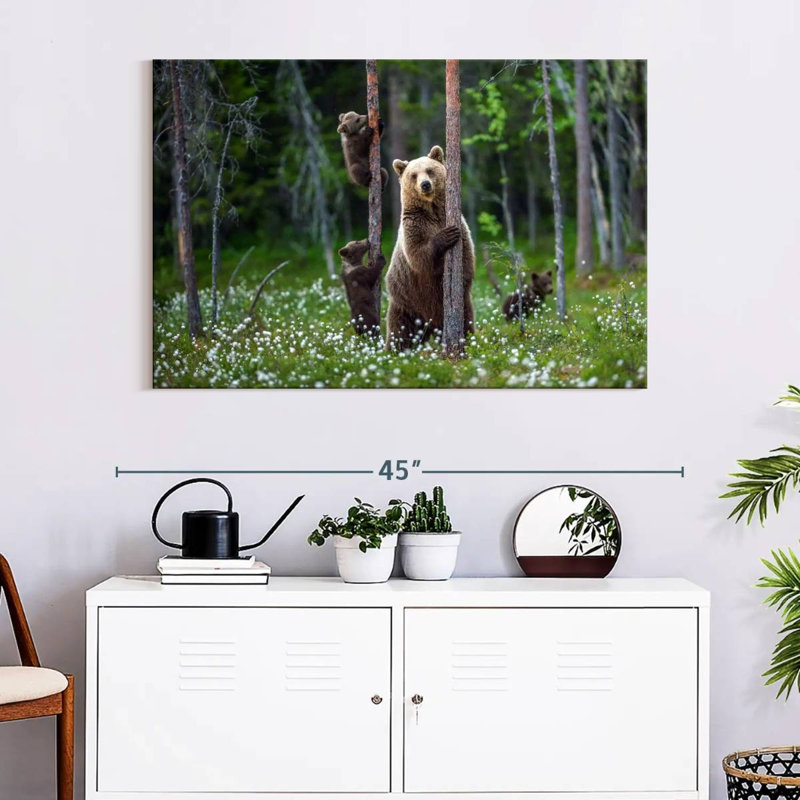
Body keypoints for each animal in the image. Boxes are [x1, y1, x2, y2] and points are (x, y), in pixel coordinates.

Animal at [384, 145, 475, 351]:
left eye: (430, 170)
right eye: (413, 175)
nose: (425, 184)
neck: (432, 210)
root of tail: (431, 325)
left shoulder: (459, 224)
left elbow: (466, 257)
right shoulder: (414, 226)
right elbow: (419, 256)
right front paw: (446, 236)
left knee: (467, 321)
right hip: (406, 302)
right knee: (399, 332)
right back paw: (393, 352)